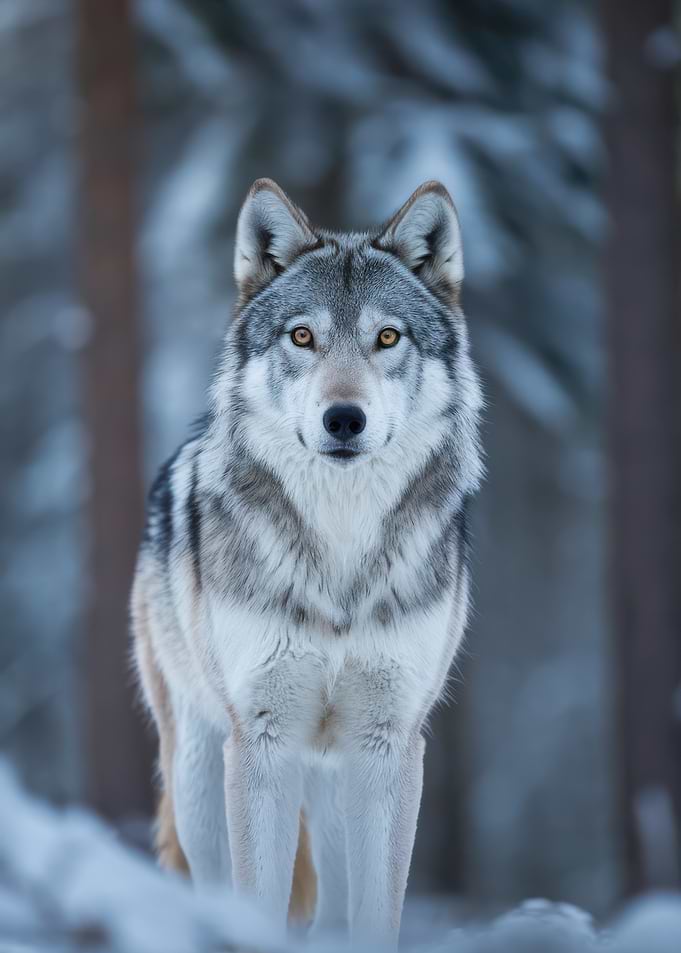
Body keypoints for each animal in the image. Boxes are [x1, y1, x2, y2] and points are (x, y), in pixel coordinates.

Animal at [131, 177, 483, 946]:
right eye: (302, 336)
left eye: (387, 337)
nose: (343, 418)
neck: (340, 549)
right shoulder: (261, 739)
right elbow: (255, 902)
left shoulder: (387, 745)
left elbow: (377, 914)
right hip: (200, 774)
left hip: (331, 790)